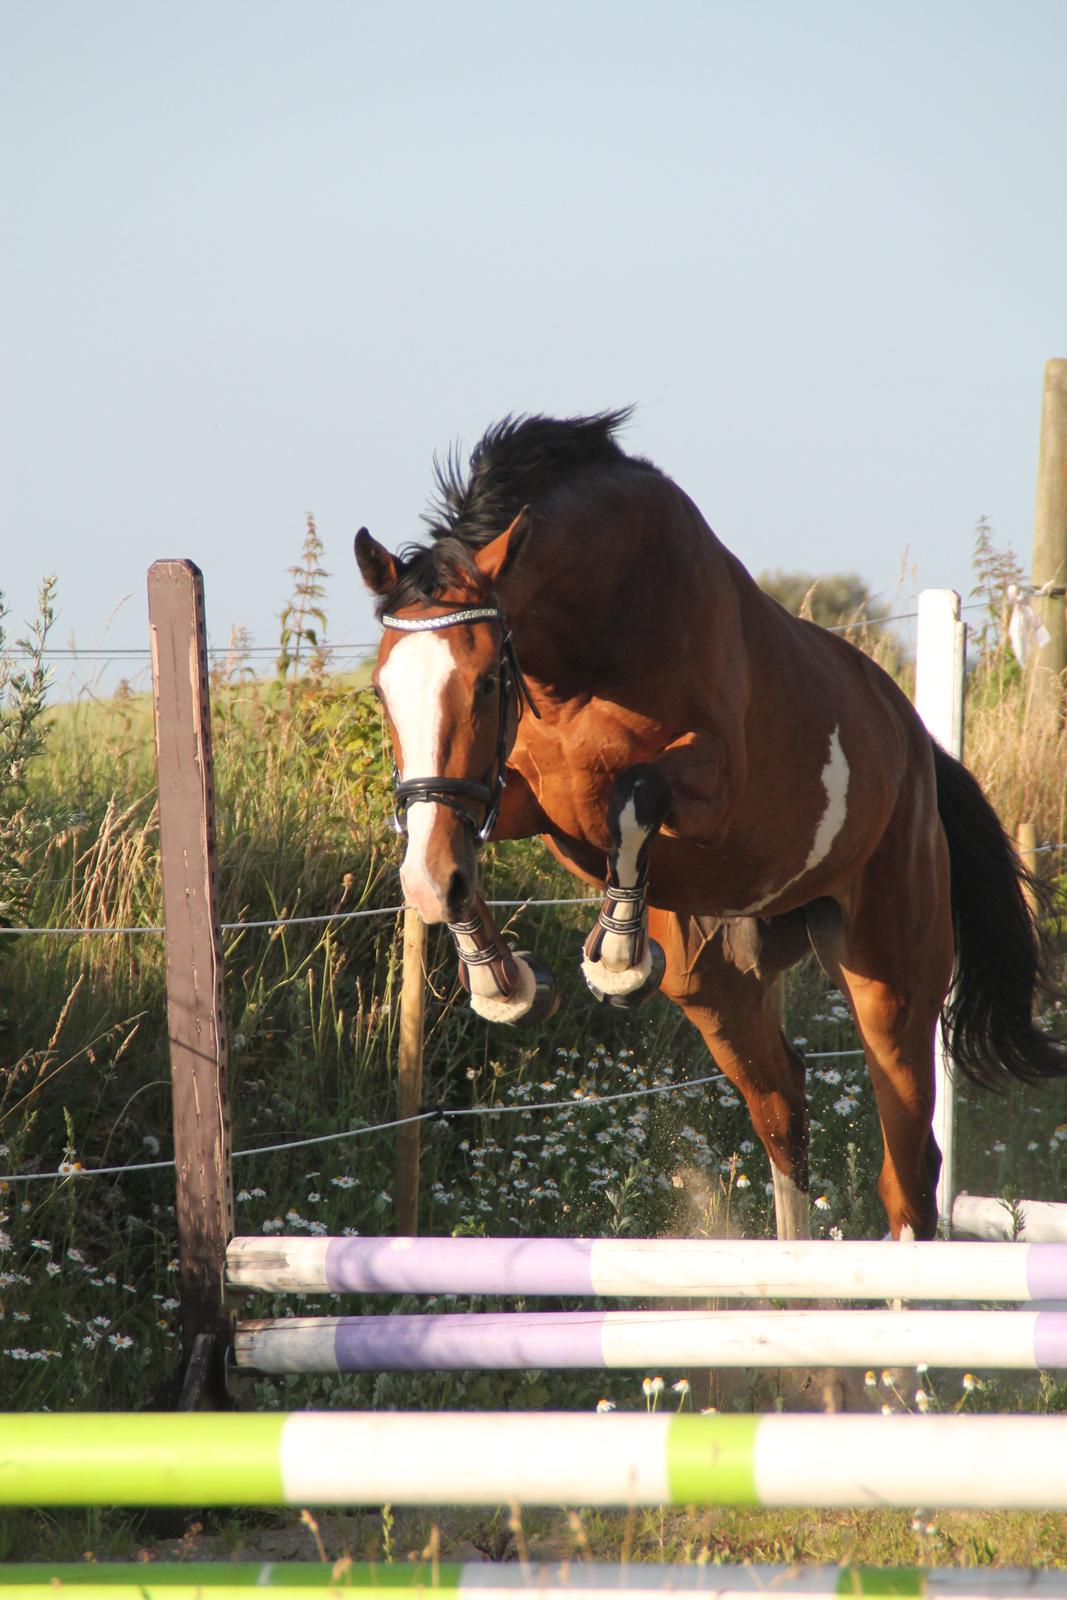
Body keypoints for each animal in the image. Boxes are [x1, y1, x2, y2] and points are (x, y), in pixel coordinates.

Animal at [355, 409, 1062, 1235]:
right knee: (782, 1108)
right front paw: (502, 981)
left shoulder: (713, 785)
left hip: (890, 976)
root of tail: (916, 746)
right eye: (381, 690)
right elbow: (462, 840)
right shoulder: (519, 797)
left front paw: (615, 960)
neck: (585, 648)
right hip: (717, 989)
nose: (424, 885)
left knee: (906, 1171)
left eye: (488, 681)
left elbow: (634, 795)